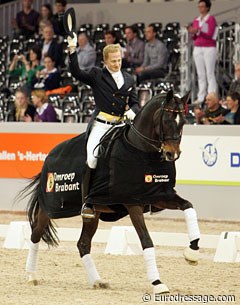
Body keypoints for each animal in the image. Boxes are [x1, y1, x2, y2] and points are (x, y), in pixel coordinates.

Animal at [20, 89, 201, 294]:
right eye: (166, 120)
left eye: (183, 121)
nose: (172, 154)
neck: (140, 150)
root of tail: (49, 156)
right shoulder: (132, 203)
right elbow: (146, 240)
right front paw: (157, 283)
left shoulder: (159, 196)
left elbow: (188, 206)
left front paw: (192, 252)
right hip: (49, 208)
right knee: (36, 234)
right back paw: (31, 276)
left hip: (94, 213)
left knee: (83, 243)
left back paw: (97, 280)